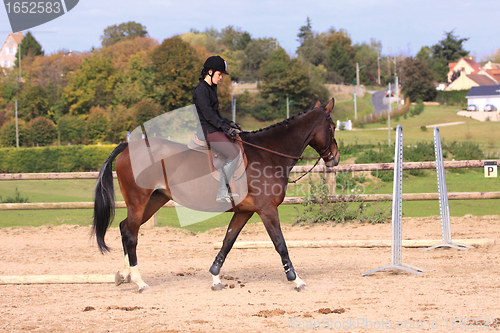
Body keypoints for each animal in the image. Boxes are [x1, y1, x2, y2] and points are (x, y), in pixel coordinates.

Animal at [92, 97, 340, 292]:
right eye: (332, 127)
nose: (335, 159)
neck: (269, 154)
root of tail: (126, 147)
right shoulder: (267, 210)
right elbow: (280, 244)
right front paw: (296, 279)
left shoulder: (245, 211)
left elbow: (228, 242)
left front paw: (215, 278)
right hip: (139, 201)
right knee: (131, 234)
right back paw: (139, 282)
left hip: (155, 200)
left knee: (125, 227)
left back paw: (125, 275)